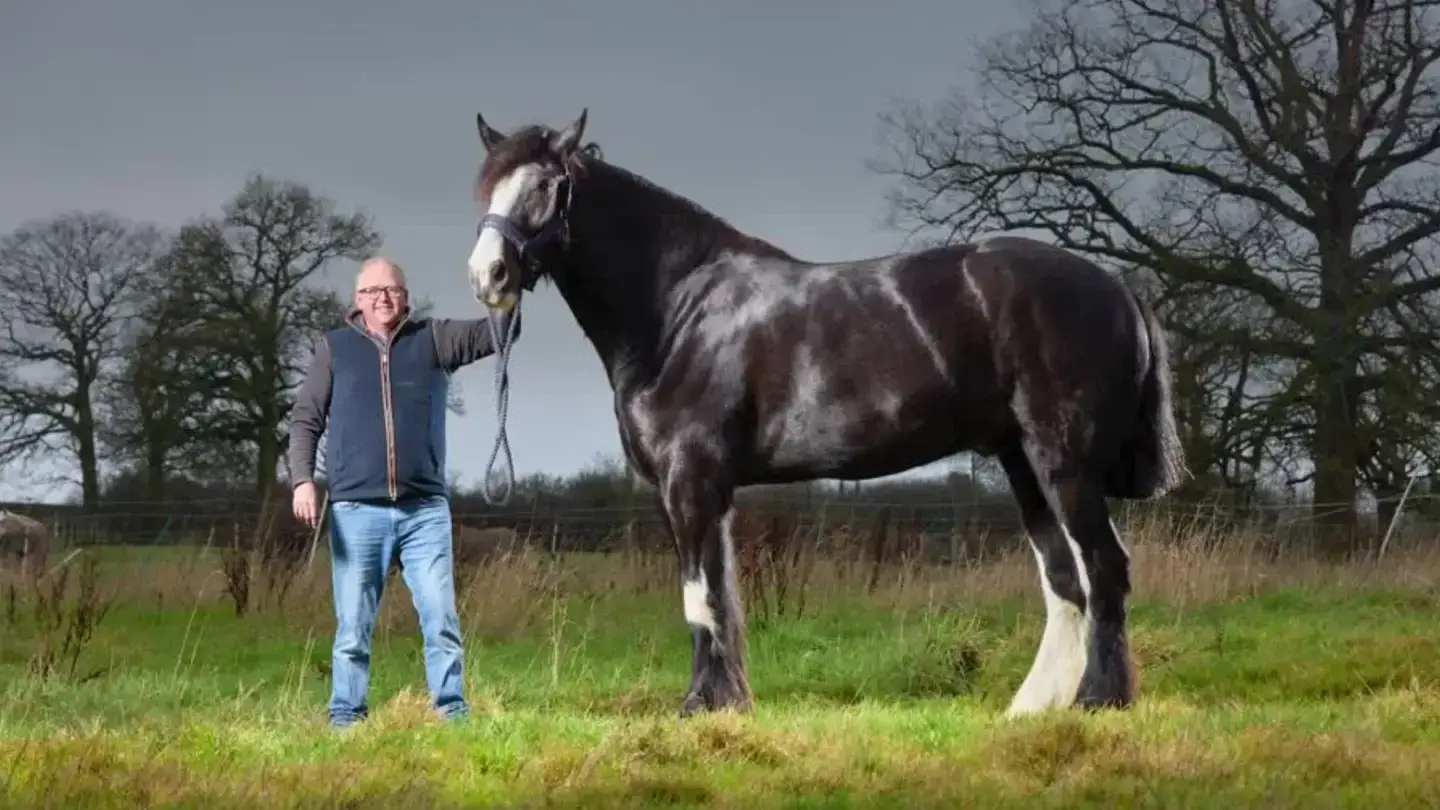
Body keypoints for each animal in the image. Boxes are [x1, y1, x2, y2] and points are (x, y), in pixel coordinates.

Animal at [463, 108, 1187, 718]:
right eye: (487, 187)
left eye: (546, 186)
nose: (488, 276)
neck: (678, 310)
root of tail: (1115, 284)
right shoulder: (706, 491)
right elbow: (721, 596)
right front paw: (729, 703)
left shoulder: (688, 480)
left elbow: (699, 597)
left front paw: (697, 706)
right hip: (1023, 465)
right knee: (1066, 583)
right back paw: (1034, 707)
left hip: (1063, 461)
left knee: (1105, 571)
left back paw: (1098, 700)